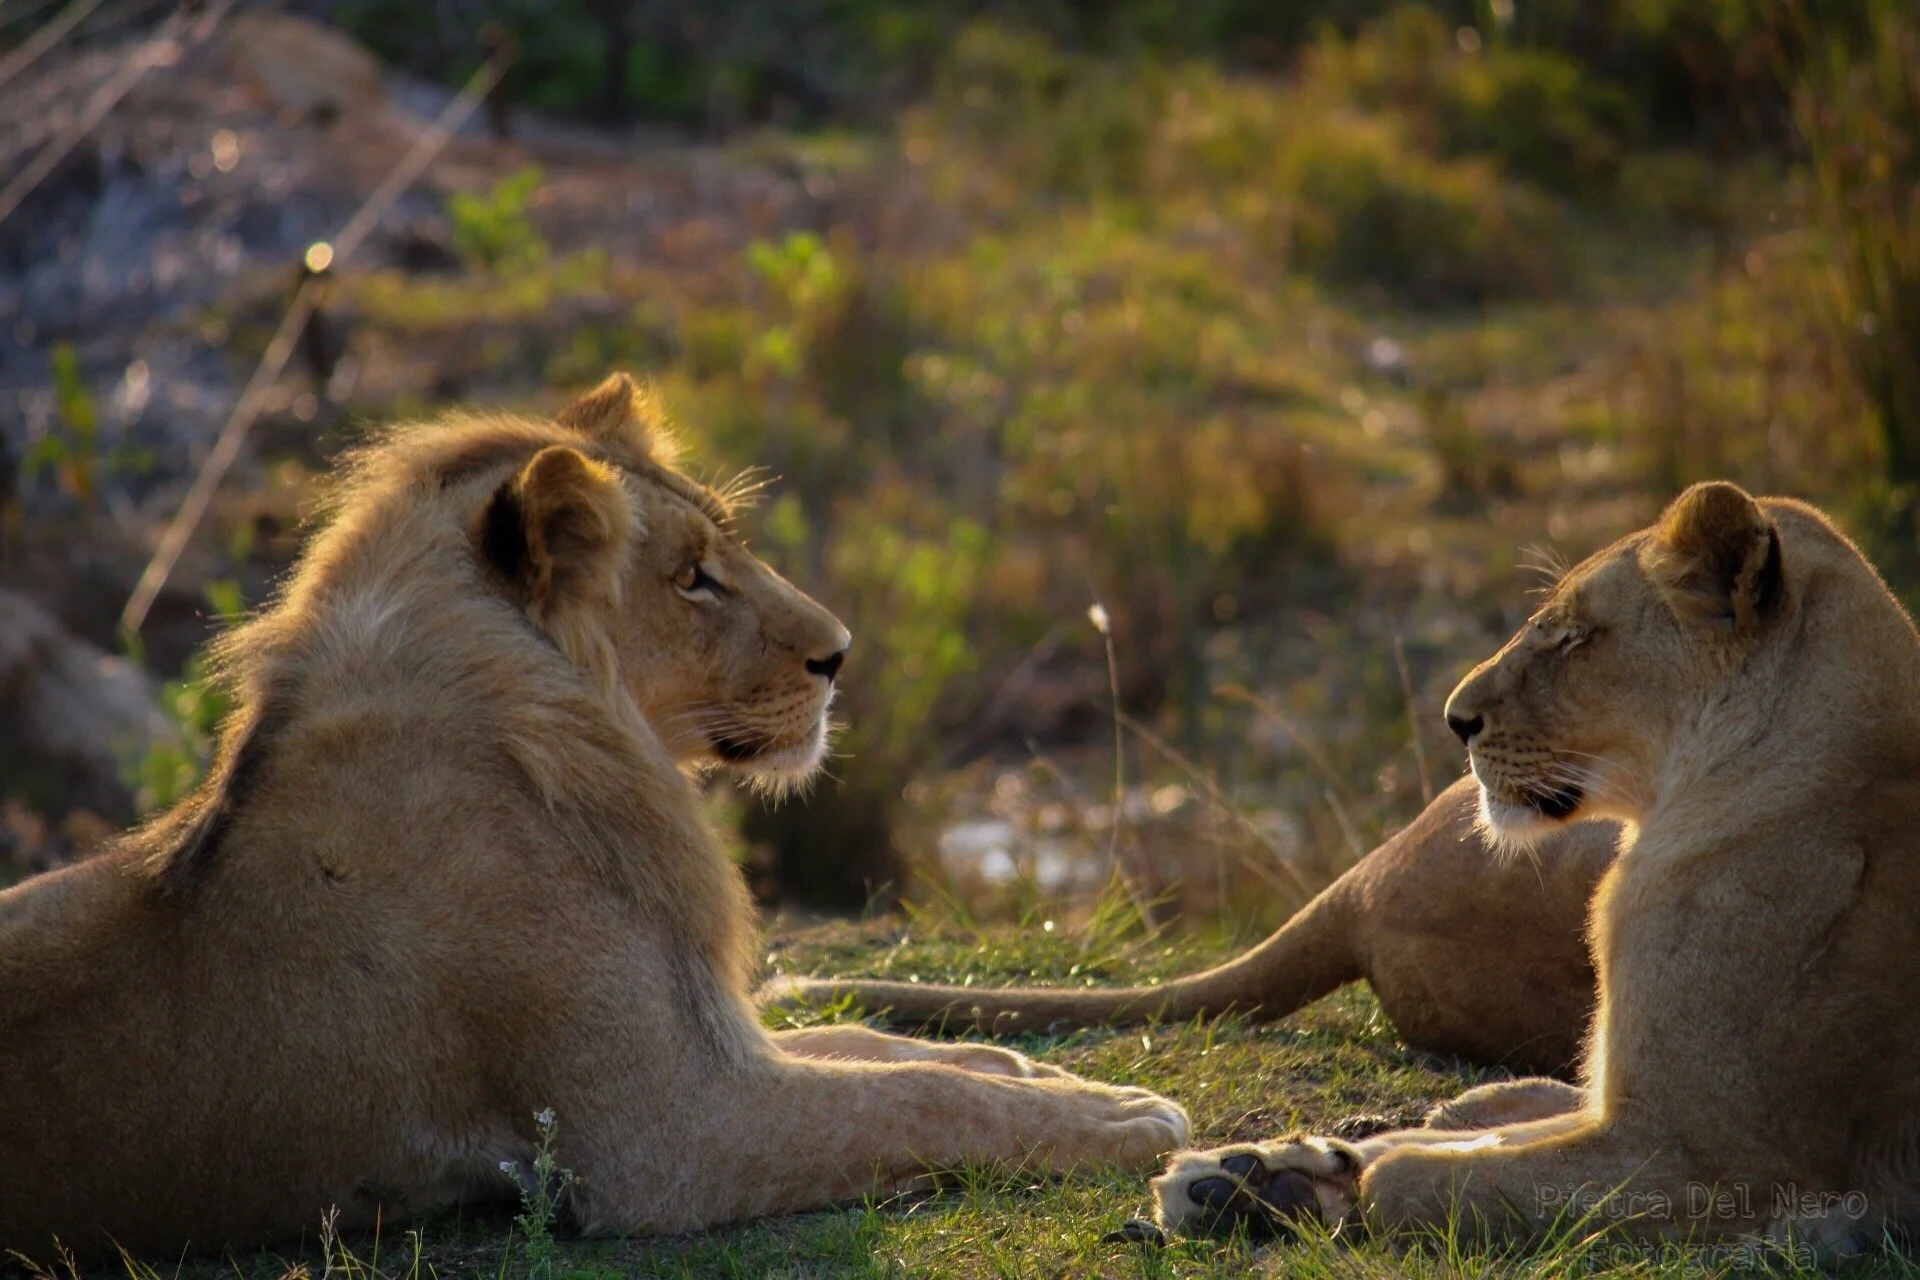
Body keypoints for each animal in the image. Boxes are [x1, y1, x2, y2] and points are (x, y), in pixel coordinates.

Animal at [0, 374, 1188, 1265]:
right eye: (694, 578)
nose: (840, 653)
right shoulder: (664, 1136)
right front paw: (1121, 1118)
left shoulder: (708, 1041)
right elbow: (913, 1102)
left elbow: (879, 1049)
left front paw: (1036, 1068)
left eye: (726, 552)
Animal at [1153, 481, 1920, 1255]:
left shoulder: (1712, 1162)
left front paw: (1299, 1188)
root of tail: (1364, 890)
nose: (1454, 719)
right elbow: (1467, 1143)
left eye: (1574, 636)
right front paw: (1261, 1180)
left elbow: (1408, 1180)